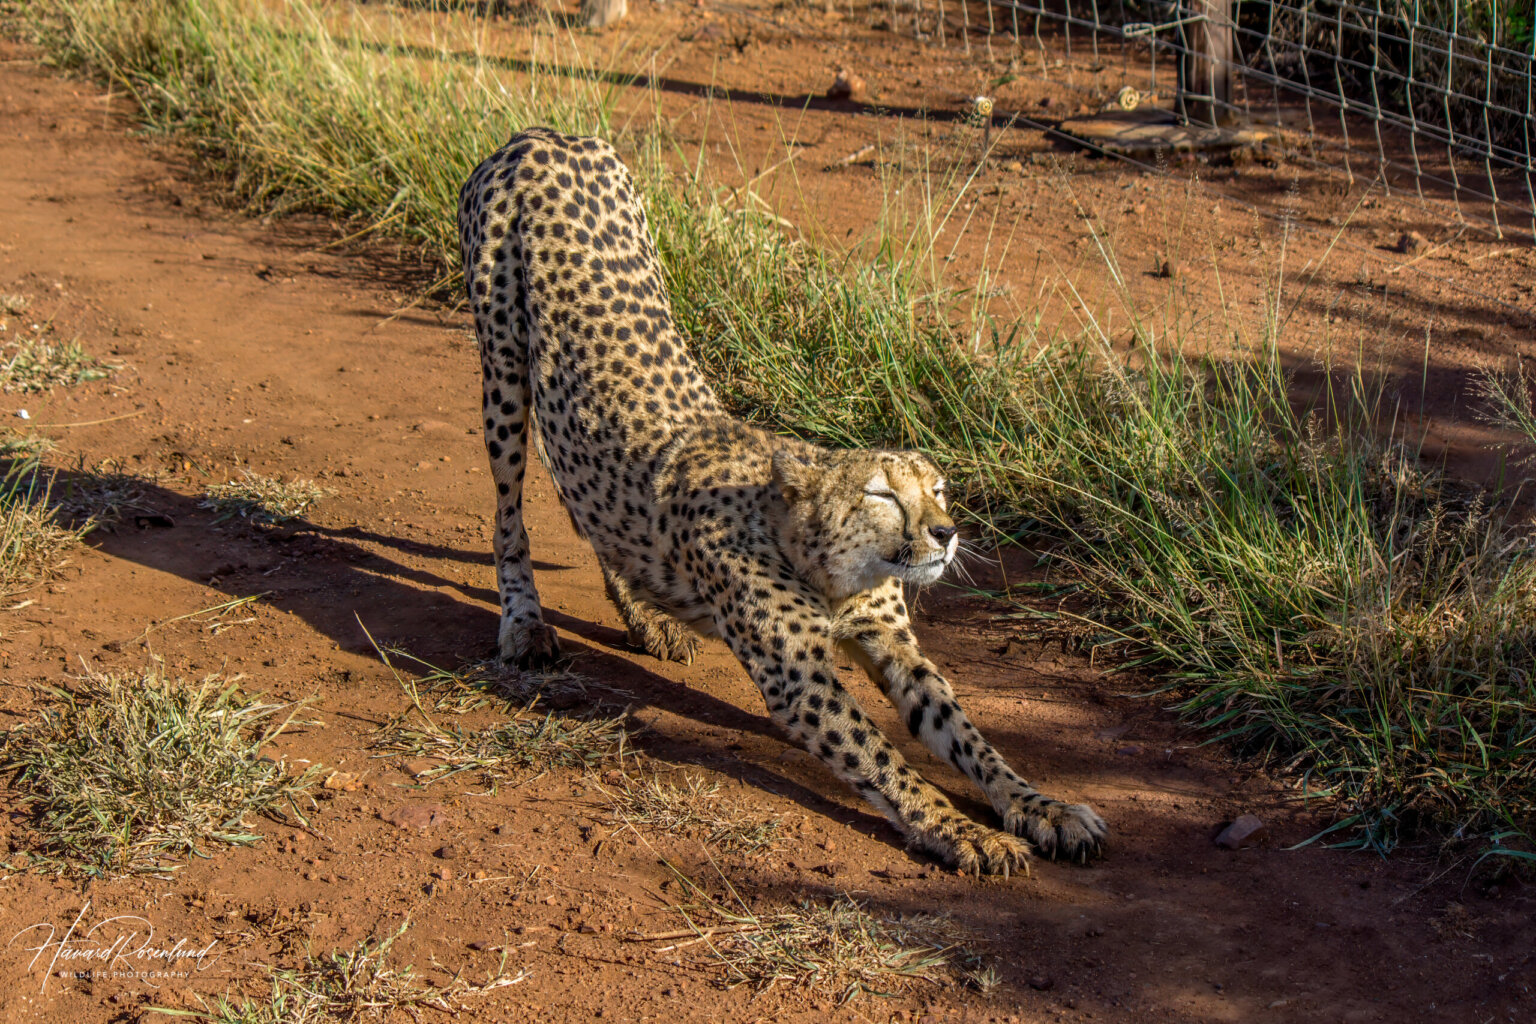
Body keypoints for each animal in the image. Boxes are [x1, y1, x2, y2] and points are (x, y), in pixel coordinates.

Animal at [457, 127, 1107, 875]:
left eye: (938, 490)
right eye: (883, 494)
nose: (946, 533)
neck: (829, 567)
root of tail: (542, 135)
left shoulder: (891, 640)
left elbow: (968, 736)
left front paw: (1042, 808)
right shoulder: (799, 677)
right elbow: (885, 761)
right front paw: (962, 830)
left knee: (586, 507)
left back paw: (648, 620)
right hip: (502, 367)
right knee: (510, 512)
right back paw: (524, 624)